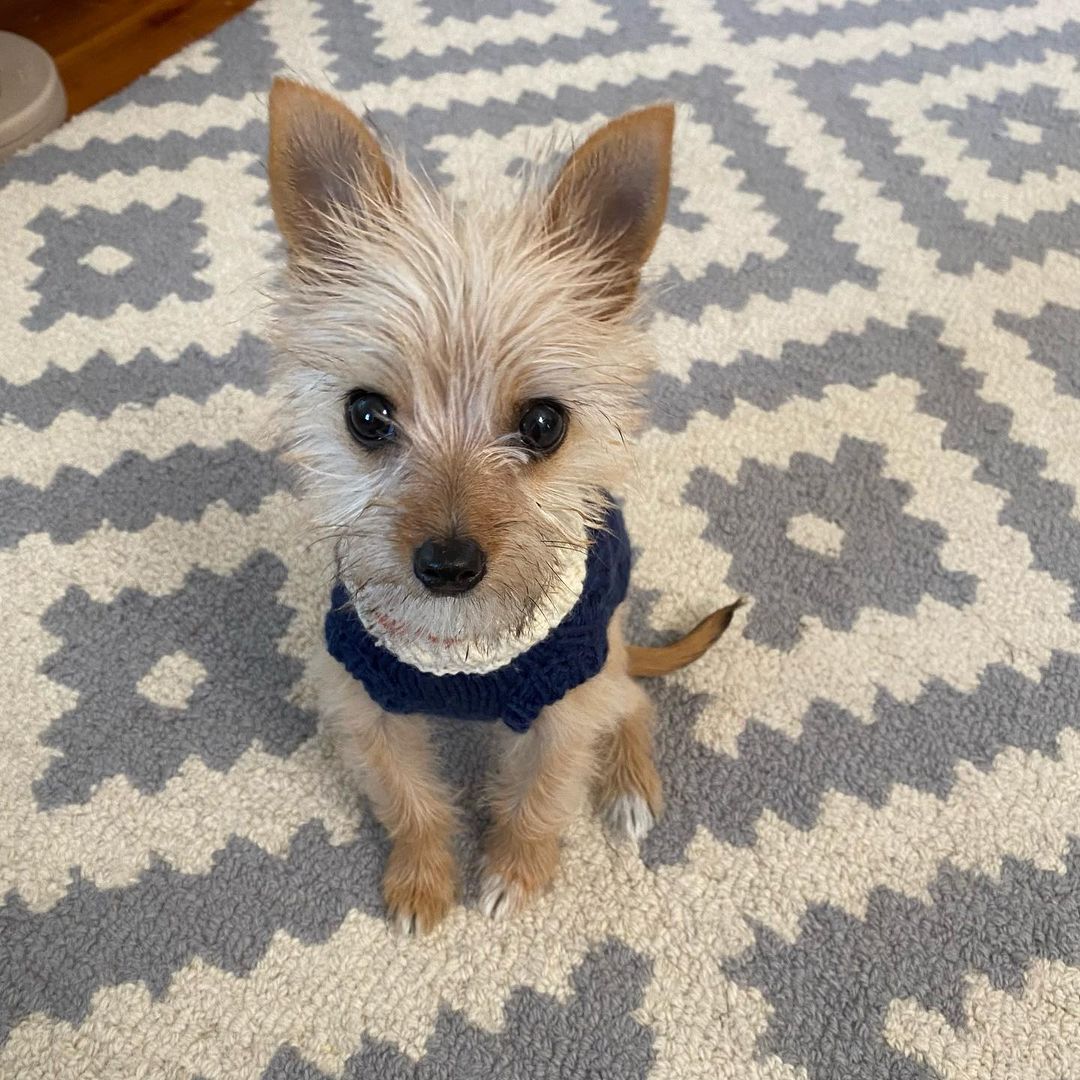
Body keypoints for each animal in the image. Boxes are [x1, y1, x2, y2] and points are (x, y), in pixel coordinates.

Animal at [266, 79, 734, 933]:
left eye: (545, 423)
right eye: (366, 415)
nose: (449, 566)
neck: (461, 652)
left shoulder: (562, 713)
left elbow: (539, 800)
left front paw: (516, 871)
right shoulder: (365, 706)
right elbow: (410, 801)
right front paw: (422, 880)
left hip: (604, 660)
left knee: (632, 704)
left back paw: (628, 785)